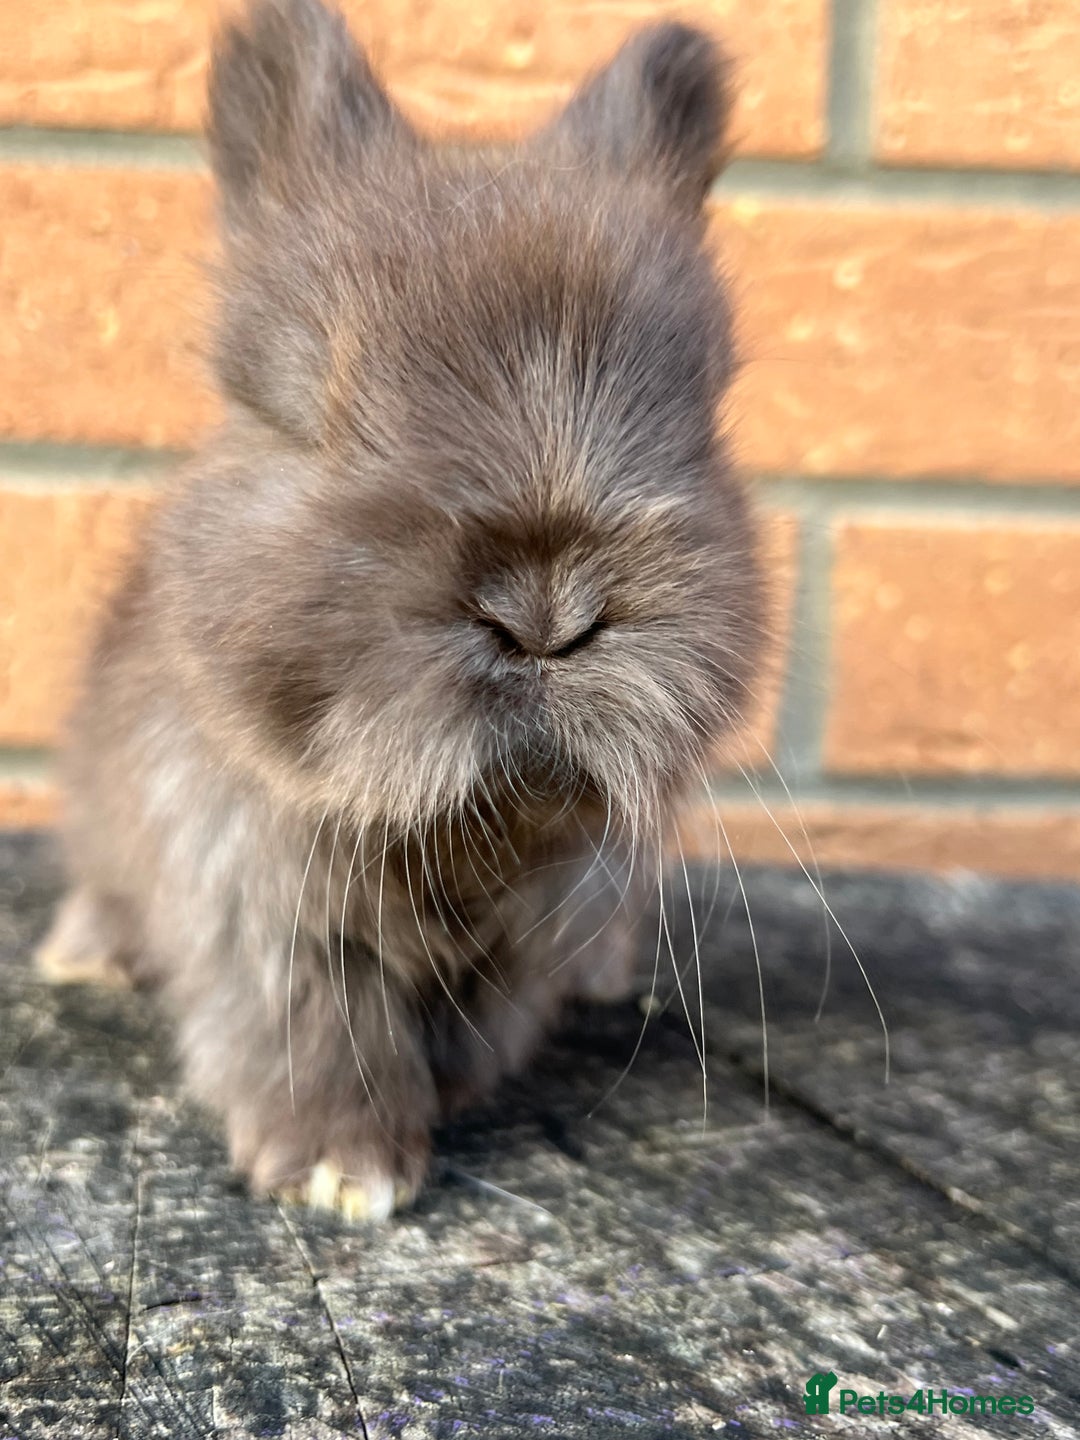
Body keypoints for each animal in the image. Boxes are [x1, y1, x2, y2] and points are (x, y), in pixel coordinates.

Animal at [36, 0, 764, 1219]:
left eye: (701, 422)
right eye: (306, 416)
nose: (545, 611)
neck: (460, 830)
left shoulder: (545, 913)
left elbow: (483, 1021)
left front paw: (444, 1100)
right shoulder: (253, 899)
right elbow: (312, 1027)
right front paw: (346, 1174)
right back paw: (81, 953)